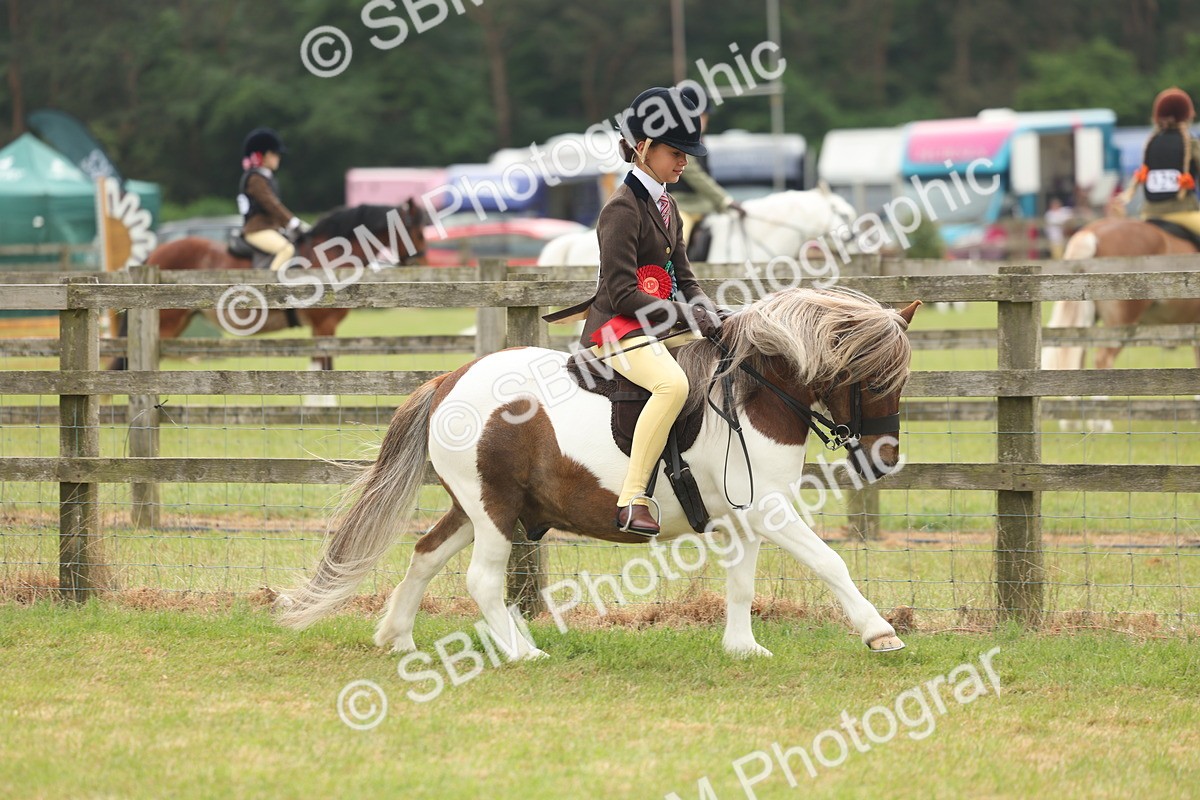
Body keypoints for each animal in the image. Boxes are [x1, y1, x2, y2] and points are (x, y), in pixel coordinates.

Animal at [114, 201, 428, 383]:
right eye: (418, 232)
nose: (423, 264)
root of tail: (156, 252)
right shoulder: (323, 326)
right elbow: (324, 369)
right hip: (166, 322)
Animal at [278, 287, 921, 659]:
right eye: (872, 378)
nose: (883, 459)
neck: (753, 395)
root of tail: (448, 380)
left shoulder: (745, 519)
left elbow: (741, 584)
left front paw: (742, 649)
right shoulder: (772, 512)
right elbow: (831, 563)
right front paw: (880, 632)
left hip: (475, 508)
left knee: (425, 556)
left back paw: (398, 635)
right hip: (493, 510)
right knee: (481, 581)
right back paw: (522, 653)